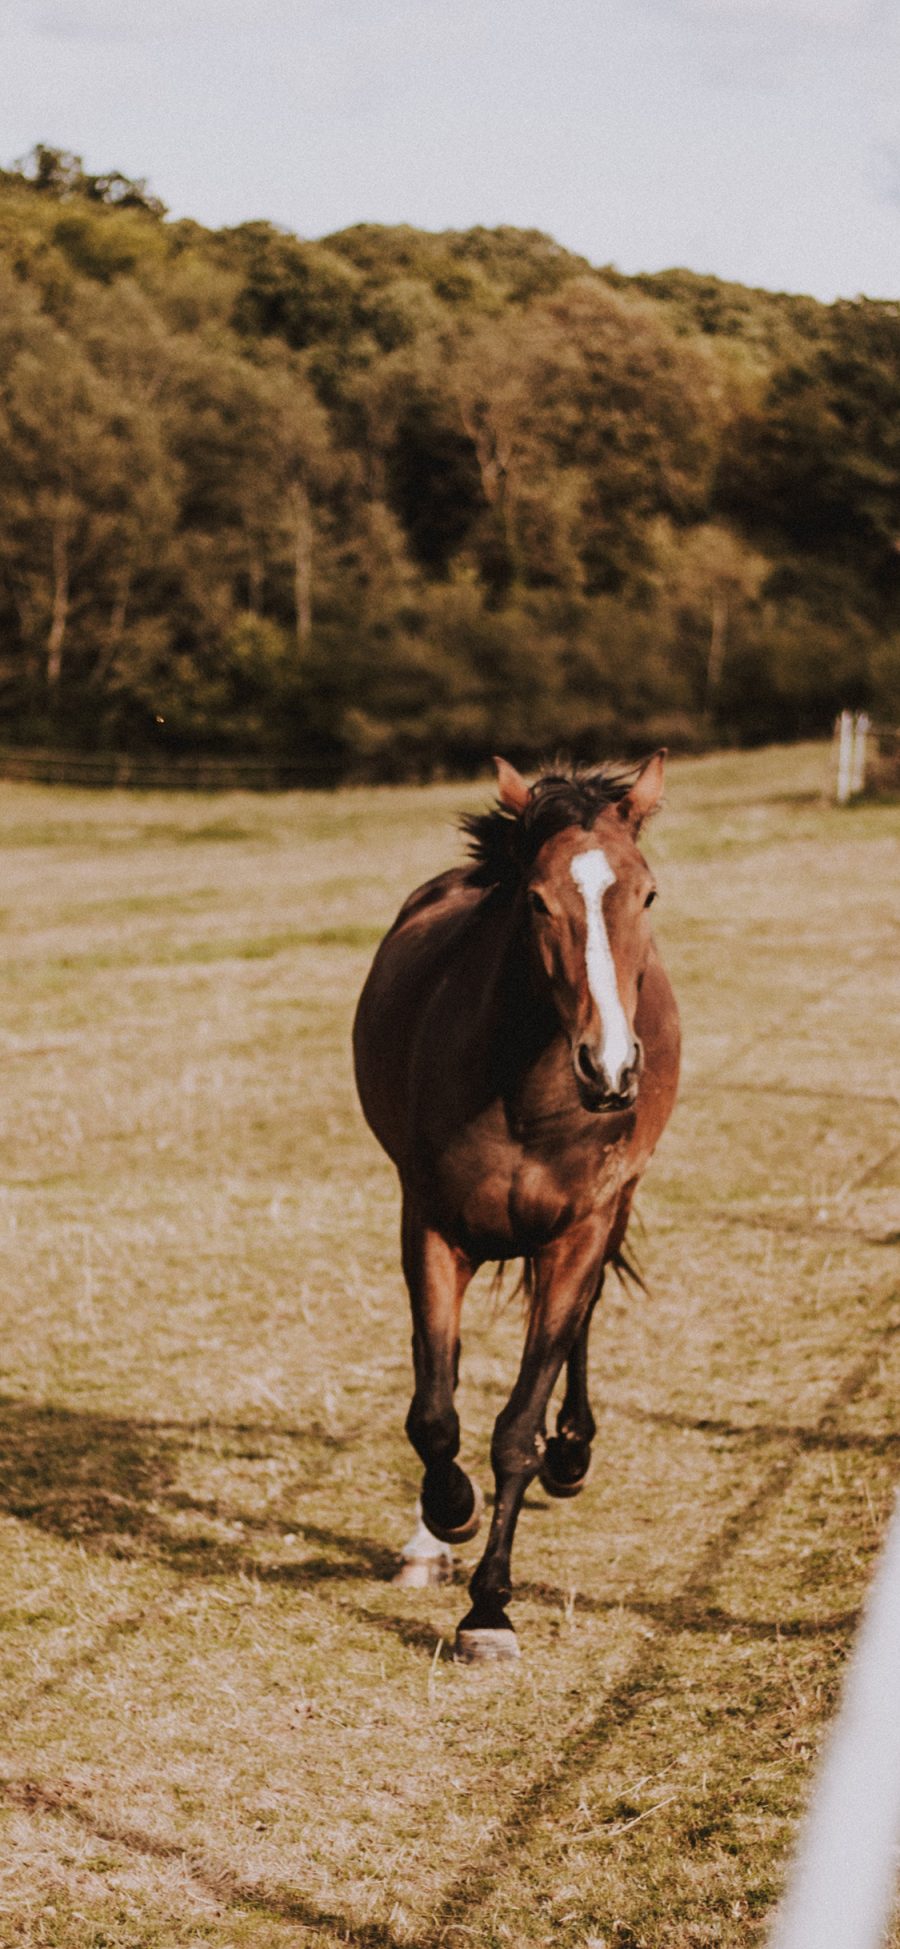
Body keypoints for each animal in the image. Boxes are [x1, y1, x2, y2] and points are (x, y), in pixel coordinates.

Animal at [354, 752, 677, 1652]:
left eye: (646, 894)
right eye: (536, 898)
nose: (611, 1067)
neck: (527, 1091)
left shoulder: (579, 1231)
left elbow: (515, 1431)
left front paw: (490, 1607)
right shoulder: (431, 1225)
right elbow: (435, 1412)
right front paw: (447, 1515)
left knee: (581, 1325)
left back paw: (573, 1453)